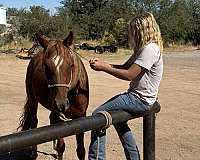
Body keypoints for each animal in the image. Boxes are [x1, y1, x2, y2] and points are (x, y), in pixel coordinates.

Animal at [18, 31, 89, 160]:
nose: (61, 104)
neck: (71, 94)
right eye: (46, 67)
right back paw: (34, 152)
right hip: (33, 100)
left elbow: (81, 150)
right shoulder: (59, 118)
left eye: (70, 65)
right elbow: (61, 146)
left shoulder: (81, 117)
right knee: (34, 122)